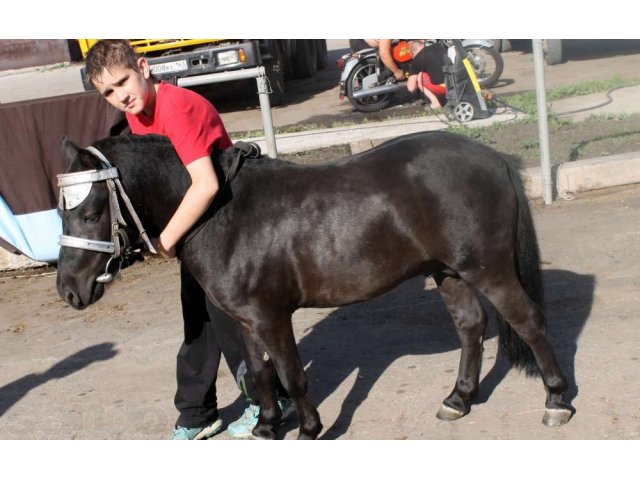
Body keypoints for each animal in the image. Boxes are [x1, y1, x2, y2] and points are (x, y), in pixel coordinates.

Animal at [55, 131, 576, 438]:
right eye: (61, 210)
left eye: (92, 210)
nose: (68, 289)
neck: (223, 214)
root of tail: (493, 156)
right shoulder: (246, 320)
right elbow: (260, 372)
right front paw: (267, 427)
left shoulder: (271, 316)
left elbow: (292, 374)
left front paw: (308, 430)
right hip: (448, 272)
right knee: (471, 326)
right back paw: (458, 399)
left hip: (489, 268)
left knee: (529, 321)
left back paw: (556, 399)